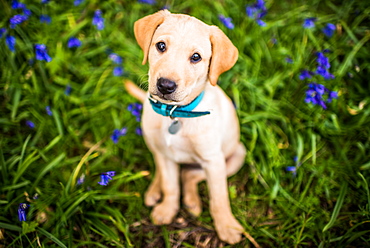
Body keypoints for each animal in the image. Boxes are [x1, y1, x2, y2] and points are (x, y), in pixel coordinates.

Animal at [125, 9, 247, 244]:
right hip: (154, 143)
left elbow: (219, 198)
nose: (165, 85)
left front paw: (227, 227)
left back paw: (191, 201)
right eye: (161, 46)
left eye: (196, 57)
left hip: (236, 155)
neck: (176, 114)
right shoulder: (166, 155)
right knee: (169, 171)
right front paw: (167, 210)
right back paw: (155, 191)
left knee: (190, 175)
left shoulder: (213, 160)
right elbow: (170, 185)